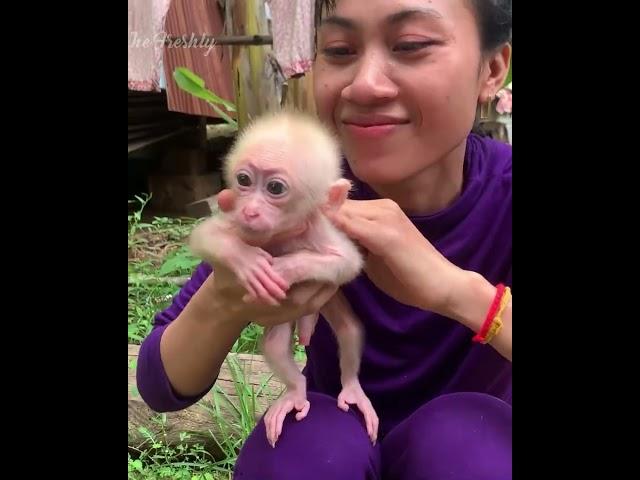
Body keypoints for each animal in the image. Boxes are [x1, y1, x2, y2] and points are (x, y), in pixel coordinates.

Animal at [190, 109, 380, 446]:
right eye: (244, 180)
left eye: (275, 189)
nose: (250, 211)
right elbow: (205, 235)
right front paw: (248, 261)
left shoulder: (317, 227)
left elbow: (348, 263)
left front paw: (285, 268)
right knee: (275, 347)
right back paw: (296, 391)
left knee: (350, 330)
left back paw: (350, 386)